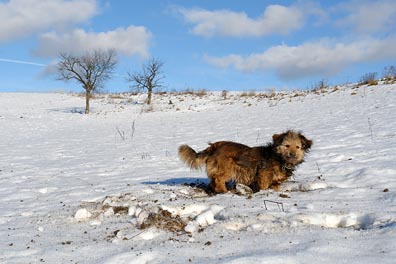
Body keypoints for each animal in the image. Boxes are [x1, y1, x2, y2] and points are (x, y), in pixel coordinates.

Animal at [179, 131, 312, 193]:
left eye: (298, 147)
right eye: (287, 145)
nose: (293, 155)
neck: (278, 158)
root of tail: (214, 146)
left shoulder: (276, 181)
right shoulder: (263, 176)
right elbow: (263, 186)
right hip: (226, 169)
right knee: (218, 178)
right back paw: (224, 191)